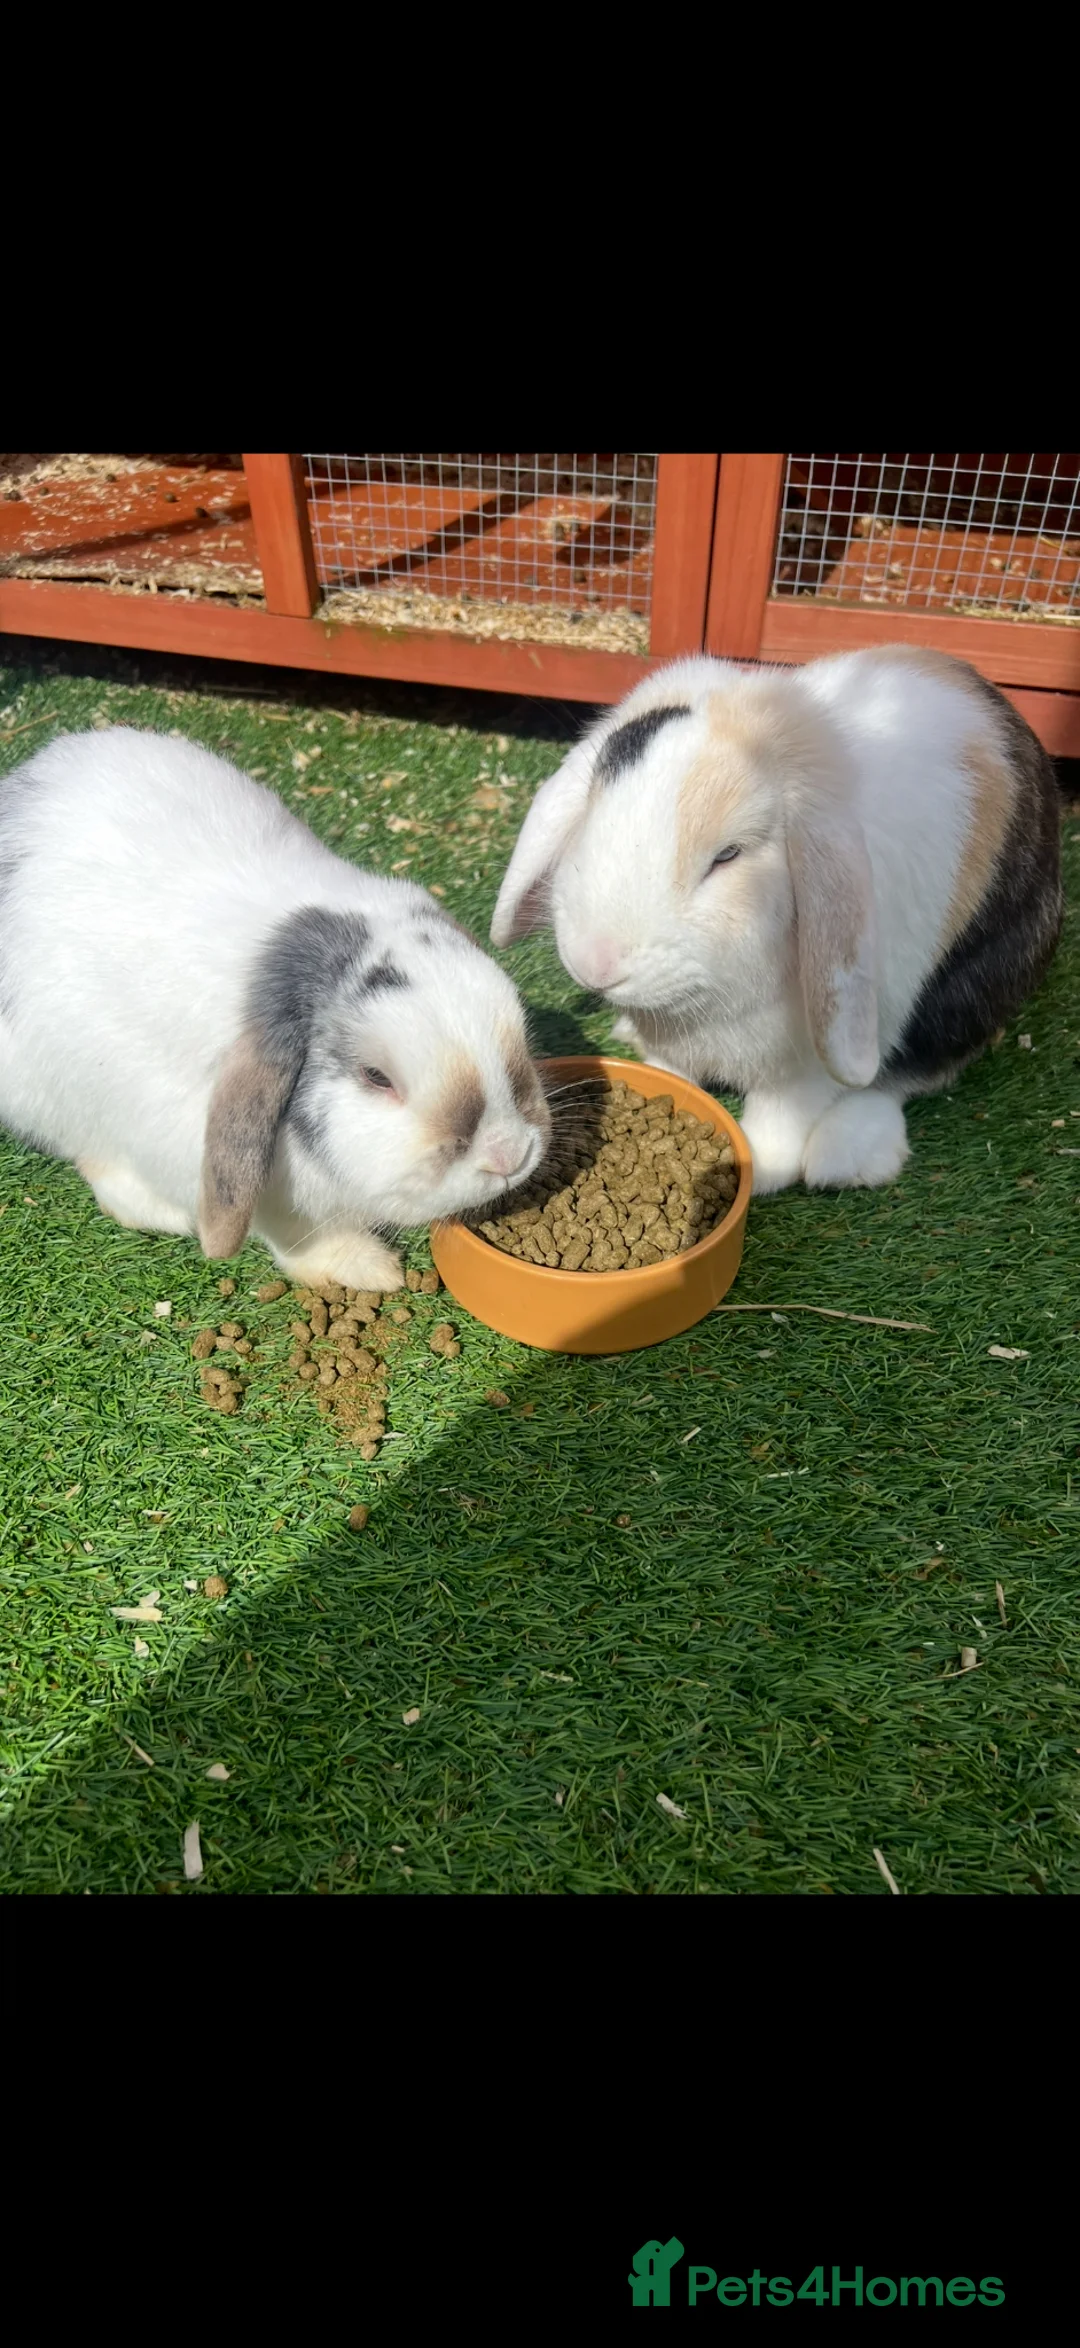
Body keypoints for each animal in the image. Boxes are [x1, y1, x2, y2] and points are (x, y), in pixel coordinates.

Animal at [491, 646, 1062, 1194]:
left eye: (729, 855)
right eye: (592, 811)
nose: (595, 963)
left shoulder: (803, 1070)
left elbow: (783, 1118)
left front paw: (758, 1169)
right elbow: (669, 1072)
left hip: (968, 994)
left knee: (909, 1075)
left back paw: (848, 1156)